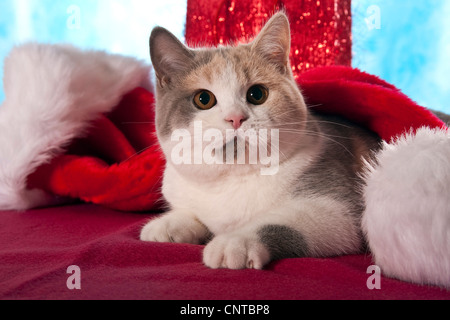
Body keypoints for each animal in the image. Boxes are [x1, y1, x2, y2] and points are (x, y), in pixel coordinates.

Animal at [139, 11, 382, 268]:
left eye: (257, 94)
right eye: (203, 99)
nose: (235, 118)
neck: (232, 179)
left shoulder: (338, 208)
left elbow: (279, 222)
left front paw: (235, 242)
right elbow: (194, 214)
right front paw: (167, 224)